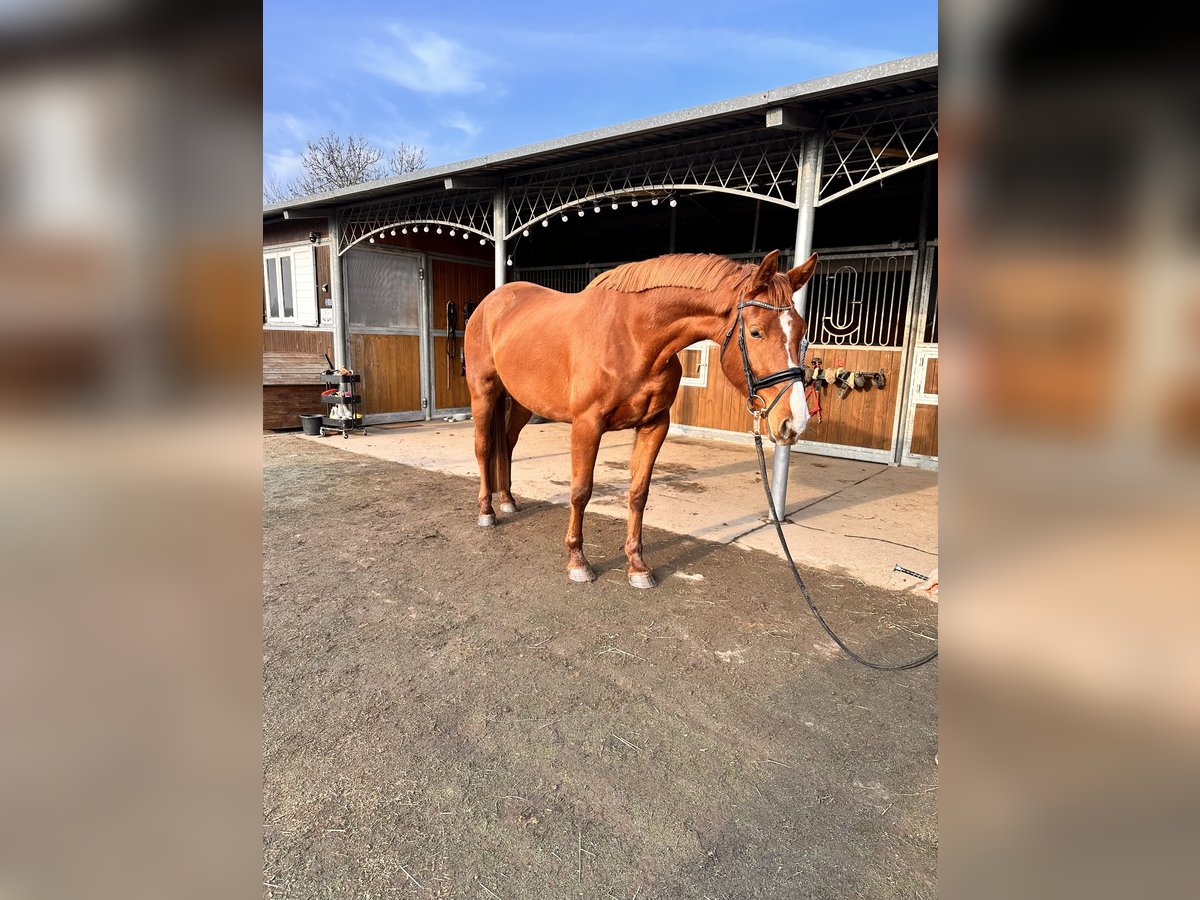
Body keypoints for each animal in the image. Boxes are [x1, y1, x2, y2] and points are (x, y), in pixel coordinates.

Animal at [463, 250, 820, 588]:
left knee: (506, 444)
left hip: (522, 402)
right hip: (484, 392)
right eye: (756, 332)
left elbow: (638, 493)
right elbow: (580, 491)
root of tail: (491, 304)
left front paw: (637, 566)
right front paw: (578, 561)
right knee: (484, 447)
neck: (634, 337)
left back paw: (508, 500)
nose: (795, 422)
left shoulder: (654, 425)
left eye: (802, 331)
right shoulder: (587, 425)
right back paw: (487, 511)